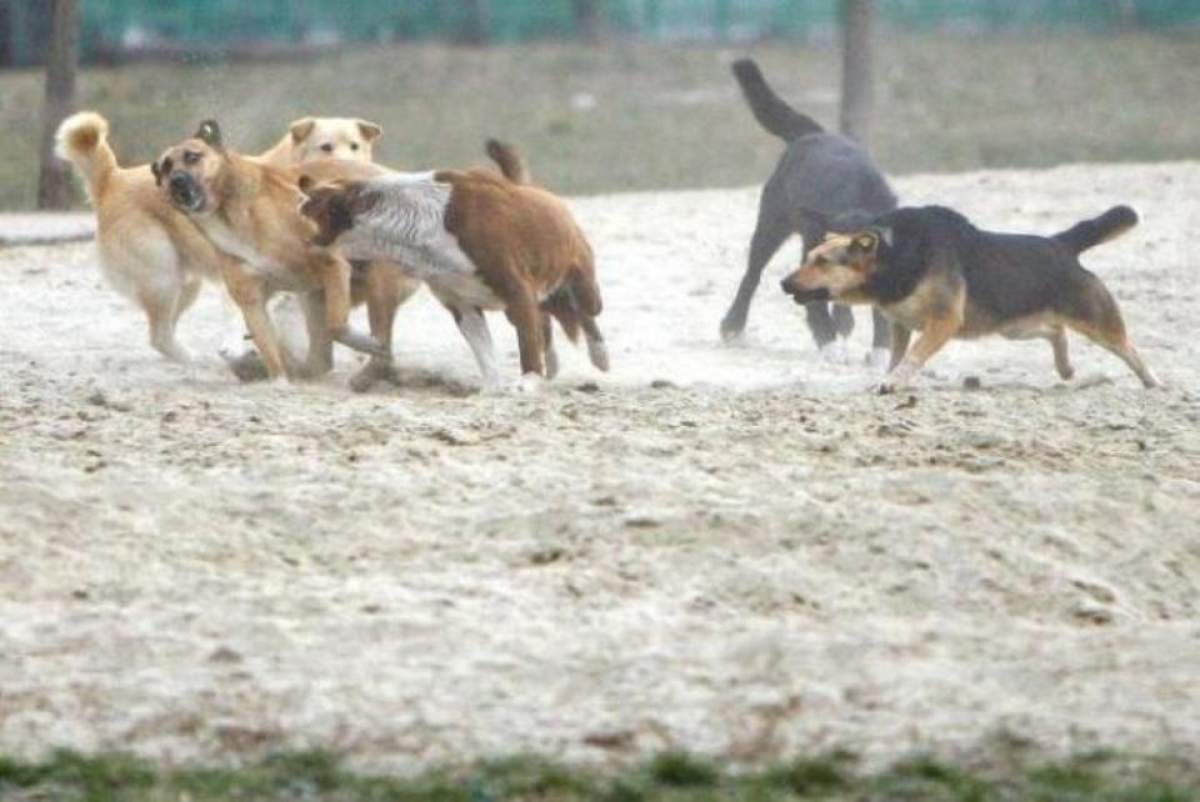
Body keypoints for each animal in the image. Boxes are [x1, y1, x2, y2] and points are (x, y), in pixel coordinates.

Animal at [56, 109, 405, 369]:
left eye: (356, 145)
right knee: (160, 334)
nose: (355, 165)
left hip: (185, 284)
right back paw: (195, 359)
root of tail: (112, 179)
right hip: (163, 277)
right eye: (326, 145)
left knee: (161, 331)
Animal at [295, 139, 604, 388]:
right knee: (547, 317)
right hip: (535, 297)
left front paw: (527, 383)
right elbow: (486, 353)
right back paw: (554, 363)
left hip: (580, 286)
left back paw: (599, 355)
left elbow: (528, 344)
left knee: (584, 313)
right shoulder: (462, 304)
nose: (303, 186)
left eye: (318, 205)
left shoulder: (517, 291)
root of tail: (534, 189)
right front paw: (493, 389)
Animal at [715, 56, 897, 357]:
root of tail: (813, 134)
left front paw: (880, 354)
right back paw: (733, 326)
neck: (856, 200)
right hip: (771, 226)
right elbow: (816, 306)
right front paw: (830, 346)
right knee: (752, 276)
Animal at [777, 204, 1161, 391]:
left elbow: (912, 357)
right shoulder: (900, 323)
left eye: (823, 262)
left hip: (1095, 320)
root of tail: (1061, 244)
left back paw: (1153, 383)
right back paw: (1066, 369)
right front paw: (887, 377)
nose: (782, 283)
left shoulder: (943, 321)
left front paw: (892, 383)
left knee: (1129, 348)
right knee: (1056, 331)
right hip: (1013, 326)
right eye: (809, 257)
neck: (894, 256)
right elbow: (897, 356)